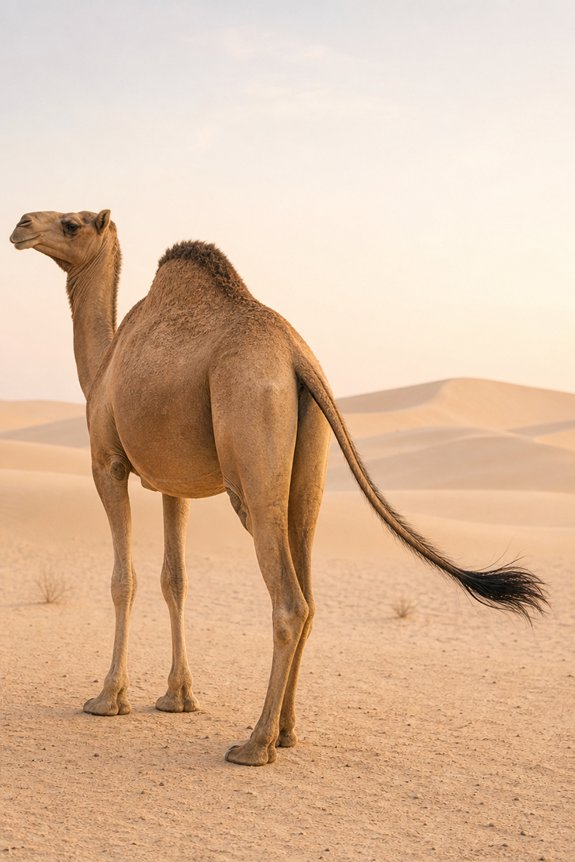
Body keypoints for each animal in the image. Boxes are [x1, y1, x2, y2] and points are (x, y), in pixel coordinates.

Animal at [10, 208, 546, 767]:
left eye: (71, 224)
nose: (22, 224)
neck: (103, 368)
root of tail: (294, 353)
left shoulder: (108, 464)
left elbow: (124, 580)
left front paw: (107, 698)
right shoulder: (174, 485)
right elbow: (174, 580)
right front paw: (177, 697)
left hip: (251, 441)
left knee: (289, 600)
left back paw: (254, 744)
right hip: (308, 466)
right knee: (308, 589)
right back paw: (286, 731)